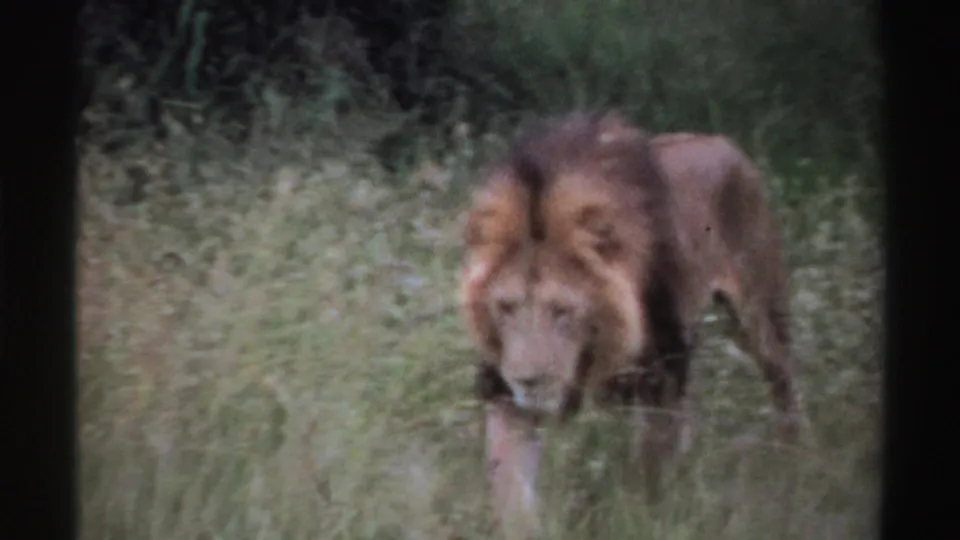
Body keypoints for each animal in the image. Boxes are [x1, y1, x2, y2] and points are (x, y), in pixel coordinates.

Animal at [459, 110, 805, 536]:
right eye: (506, 307)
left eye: (562, 310)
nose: (529, 380)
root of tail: (721, 141)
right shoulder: (504, 394)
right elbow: (514, 494)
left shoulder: (663, 382)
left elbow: (646, 483)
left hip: (761, 316)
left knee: (786, 389)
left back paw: (799, 470)